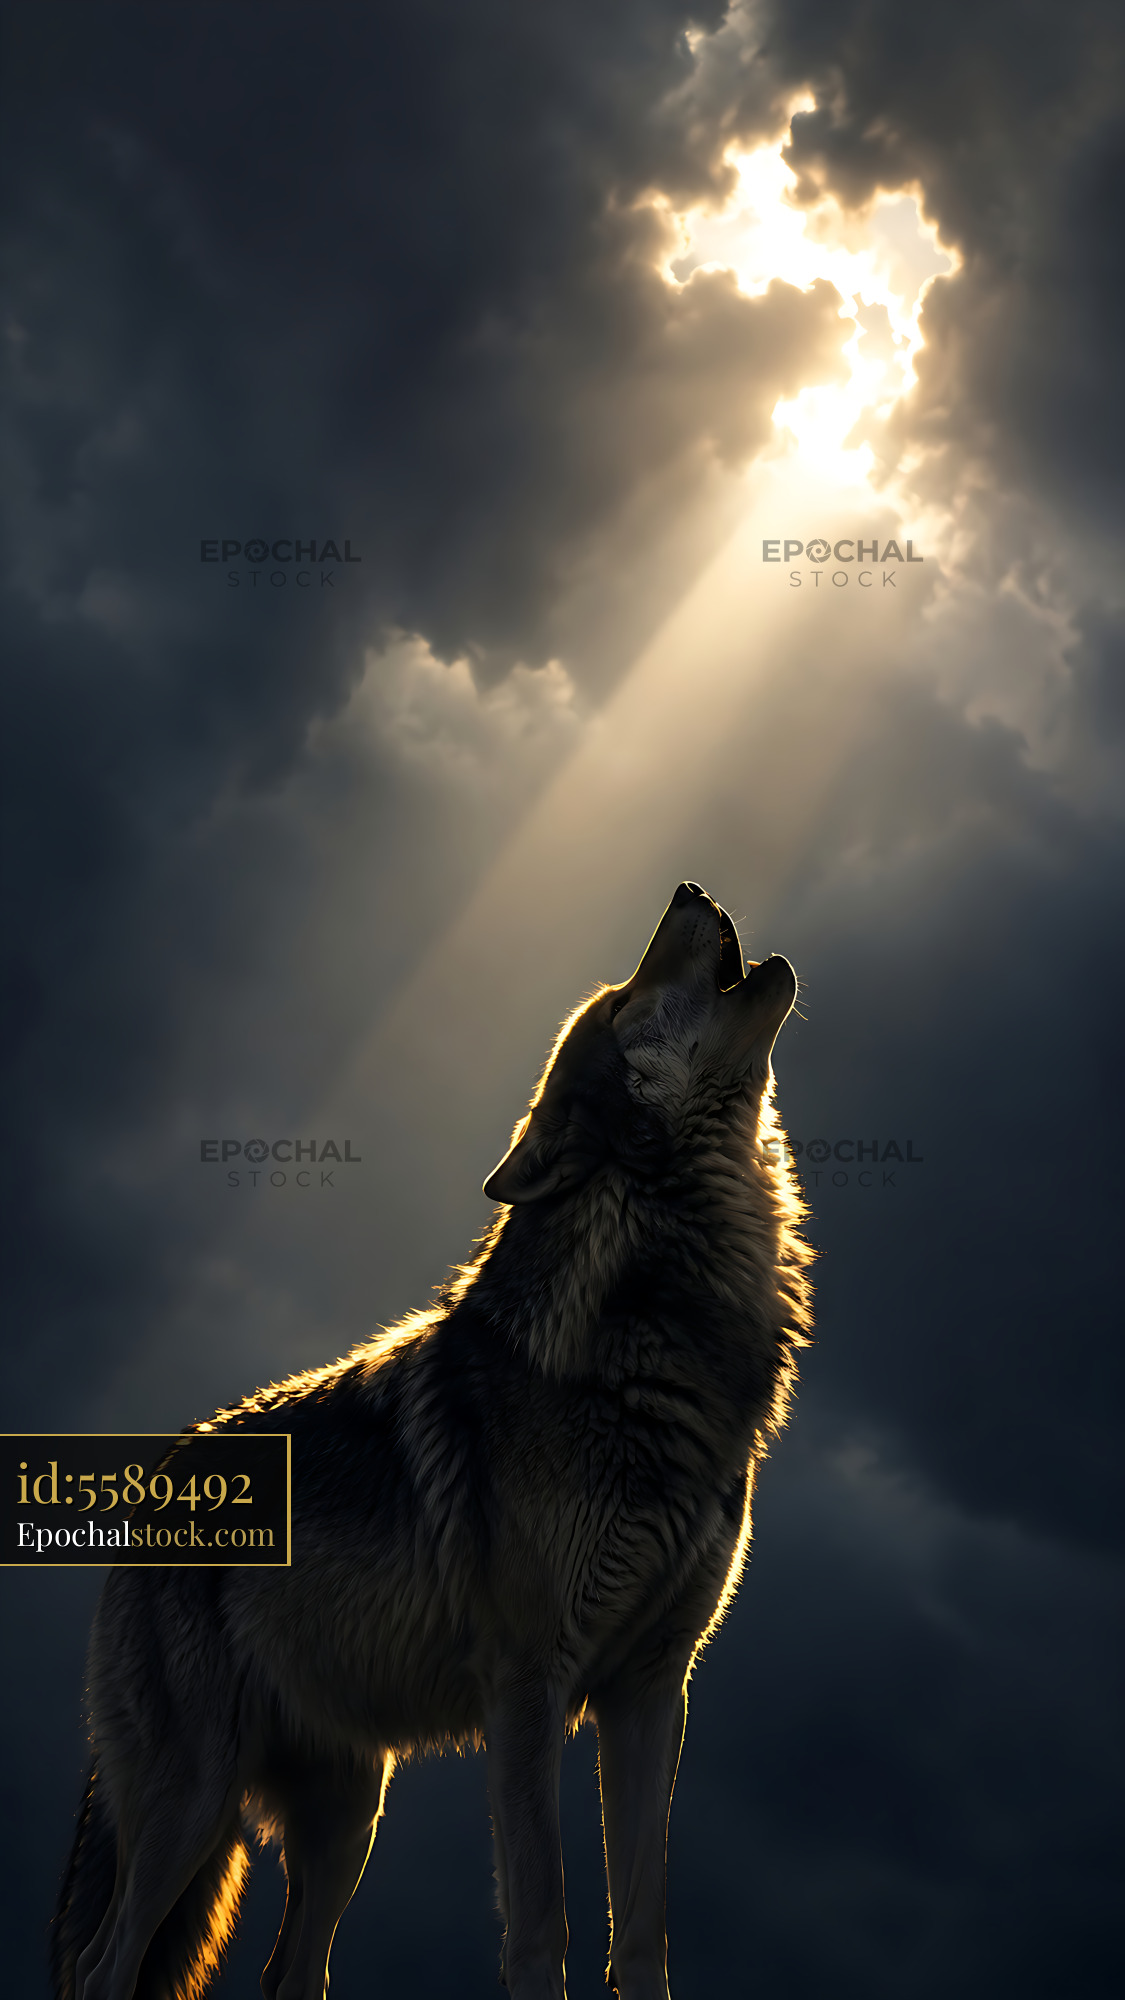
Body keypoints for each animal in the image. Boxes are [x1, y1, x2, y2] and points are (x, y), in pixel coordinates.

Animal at [52, 880, 813, 2000]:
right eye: (625, 995)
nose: (687, 889)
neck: (655, 1334)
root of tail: (153, 1483)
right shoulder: (529, 1686)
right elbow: (543, 1920)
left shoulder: (650, 1691)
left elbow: (642, 1930)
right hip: (193, 1802)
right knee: (105, 1964)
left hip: (346, 1819)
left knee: (290, 1973)